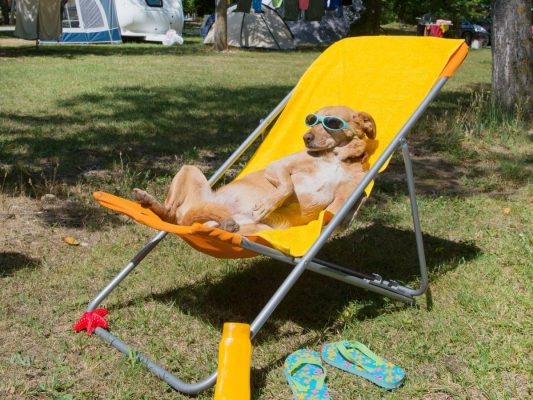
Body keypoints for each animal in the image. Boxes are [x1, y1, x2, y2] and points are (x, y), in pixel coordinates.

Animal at [132, 108, 374, 236]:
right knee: (170, 214)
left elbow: (341, 210)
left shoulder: (345, 197)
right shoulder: (277, 167)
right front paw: (268, 203)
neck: (336, 157)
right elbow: (286, 186)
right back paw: (148, 201)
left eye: (333, 123)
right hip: (189, 170)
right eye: (312, 119)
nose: (306, 138)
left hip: (258, 229)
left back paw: (226, 224)